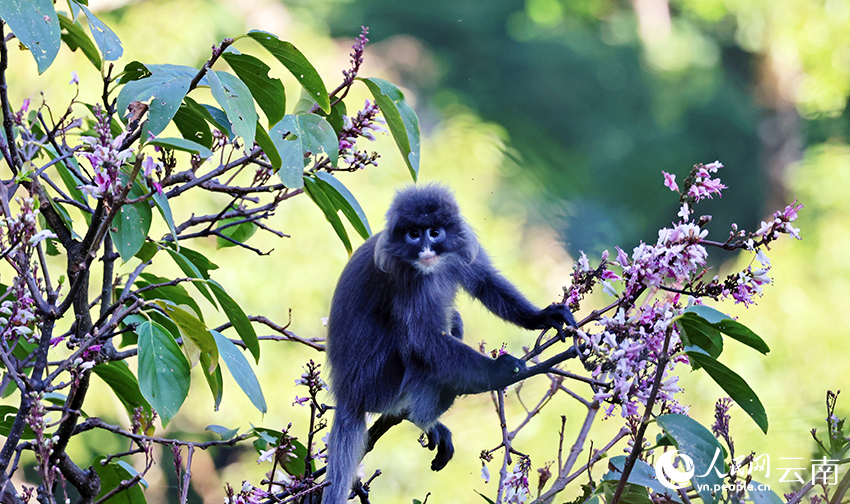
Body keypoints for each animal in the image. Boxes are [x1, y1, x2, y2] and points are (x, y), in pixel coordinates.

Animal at [321, 184, 576, 504]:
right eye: (414, 234)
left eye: (435, 232)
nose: (426, 249)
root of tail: (348, 395)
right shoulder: (405, 280)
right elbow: (422, 341)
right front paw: (497, 370)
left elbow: (486, 283)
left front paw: (541, 316)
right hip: (379, 384)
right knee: (414, 348)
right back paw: (425, 416)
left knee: (451, 317)